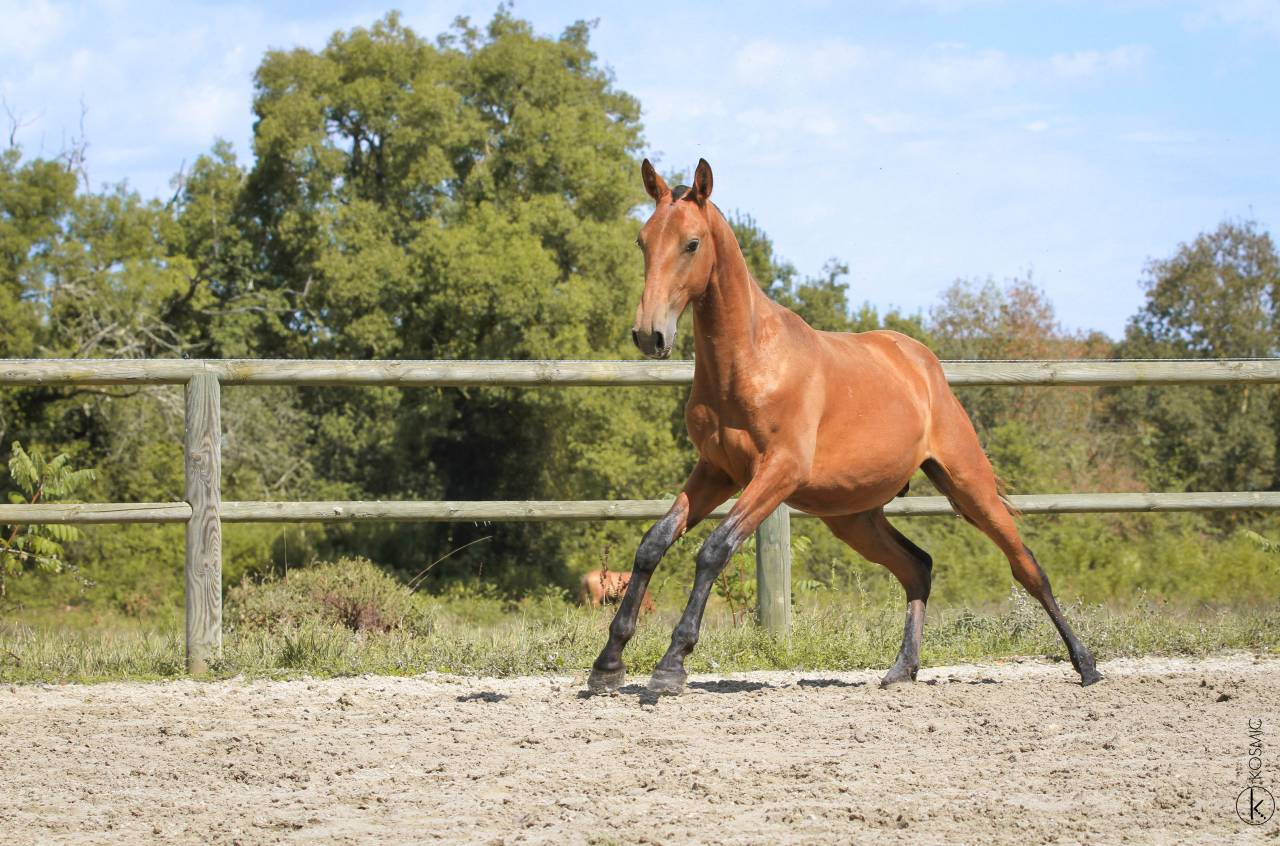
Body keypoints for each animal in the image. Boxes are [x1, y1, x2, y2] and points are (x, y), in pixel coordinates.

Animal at [587, 158, 1102, 696]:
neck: (749, 361)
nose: (650, 335)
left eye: (691, 243)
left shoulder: (777, 472)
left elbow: (714, 549)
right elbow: (654, 543)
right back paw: (901, 669)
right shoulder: (717, 471)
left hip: (968, 484)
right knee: (917, 568)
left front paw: (671, 664)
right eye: (643, 241)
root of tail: (922, 364)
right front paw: (608, 663)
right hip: (854, 515)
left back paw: (1085, 664)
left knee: (1026, 567)